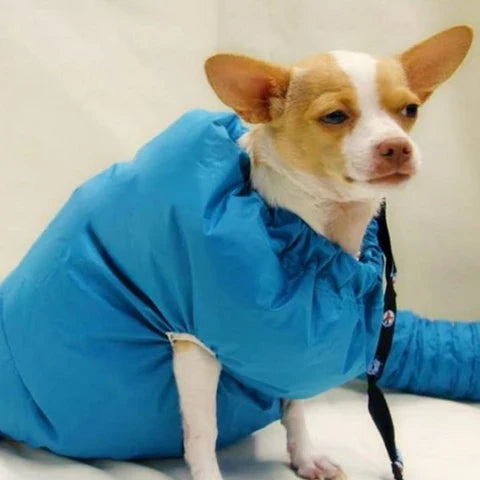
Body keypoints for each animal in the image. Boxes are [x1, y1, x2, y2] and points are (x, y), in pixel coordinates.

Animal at [170, 26, 472, 480]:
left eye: (410, 109)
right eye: (334, 117)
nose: (397, 146)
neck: (327, 225)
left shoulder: (294, 344)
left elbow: (294, 406)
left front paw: (305, 456)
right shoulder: (193, 345)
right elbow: (203, 431)